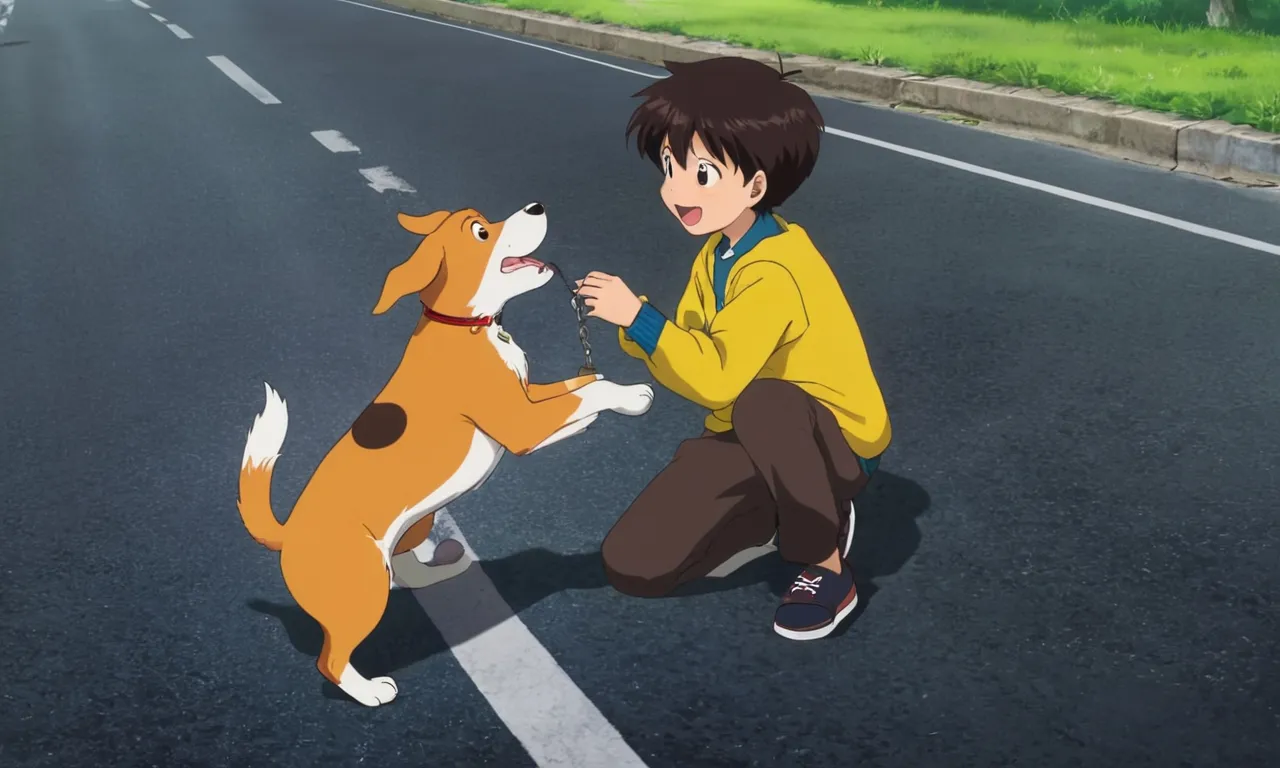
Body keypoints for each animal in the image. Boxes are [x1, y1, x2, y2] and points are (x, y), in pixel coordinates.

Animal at [239, 200, 655, 706]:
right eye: (480, 232)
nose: (537, 205)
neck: (467, 326)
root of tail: (286, 533)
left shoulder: (529, 398)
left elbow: (583, 385)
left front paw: (622, 395)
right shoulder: (522, 424)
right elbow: (588, 394)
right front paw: (632, 395)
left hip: (415, 528)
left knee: (405, 569)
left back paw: (443, 569)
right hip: (361, 588)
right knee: (331, 658)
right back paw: (369, 691)